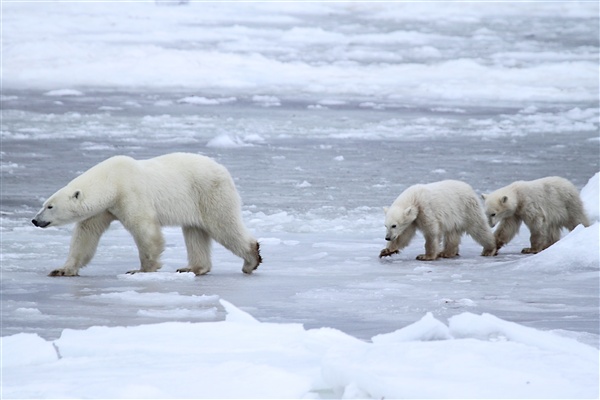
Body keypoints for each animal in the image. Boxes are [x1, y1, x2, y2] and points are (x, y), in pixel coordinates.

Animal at [30, 152, 260, 276]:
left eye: (49, 206)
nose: (35, 220)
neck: (111, 181)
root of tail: (223, 169)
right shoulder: (103, 209)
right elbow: (85, 236)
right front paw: (62, 270)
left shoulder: (130, 194)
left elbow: (145, 230)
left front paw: (141, 269)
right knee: (195, 232)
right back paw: (192, 268)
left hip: (209, 194)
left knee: (223, 225)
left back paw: (251, 259)